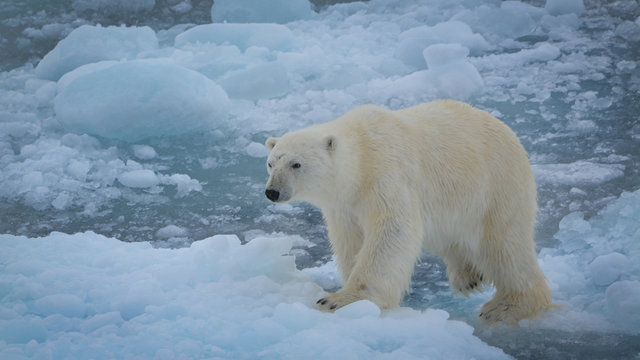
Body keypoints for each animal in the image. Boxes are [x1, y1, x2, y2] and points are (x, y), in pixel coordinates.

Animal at [262, 100, 552, 324]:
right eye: (271, 163)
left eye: (296, 164)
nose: (272, 192)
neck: (362, 158)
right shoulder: (344, 205)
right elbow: (350, 240)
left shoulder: (387, 176)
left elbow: (392, 232)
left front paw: (339, 300)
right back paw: (468, 277)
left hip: (497, 186)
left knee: (505, 247)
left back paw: (506, 306)